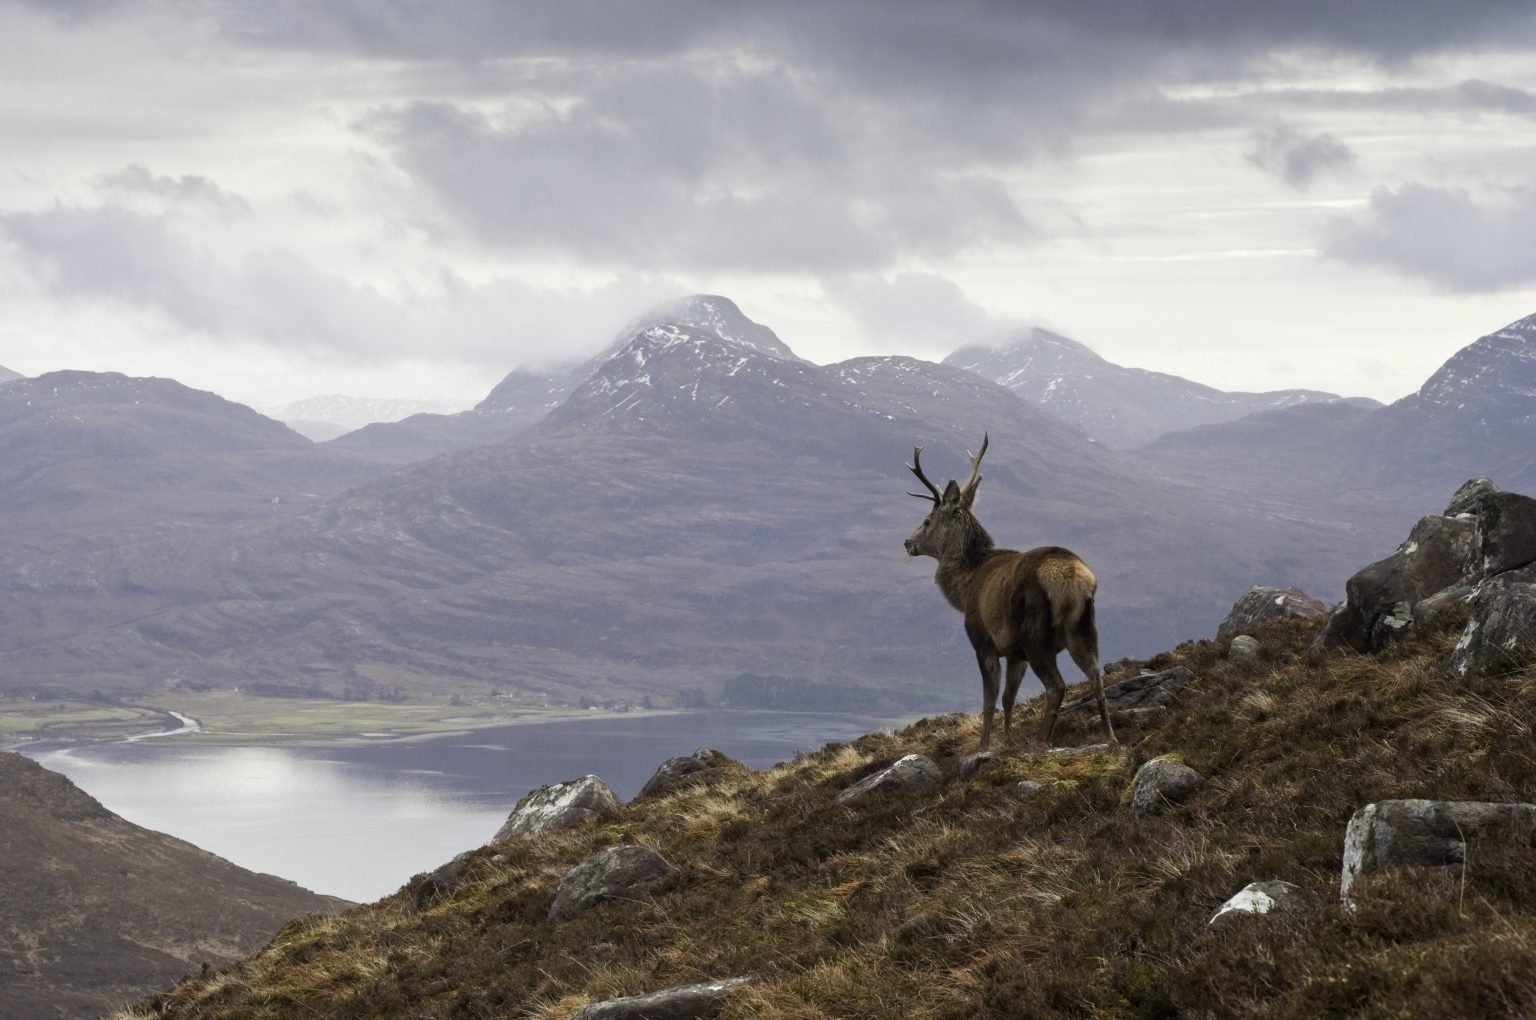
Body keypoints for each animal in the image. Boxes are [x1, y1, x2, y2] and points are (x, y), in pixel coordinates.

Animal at [904, 434, 1116, 749]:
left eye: (927, 520)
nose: (907, 542)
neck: (964, 588)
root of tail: (1075, 579)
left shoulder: (983, 641)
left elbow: (989, 700)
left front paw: (984, 746)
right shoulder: (1016, 653)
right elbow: (1008, 698)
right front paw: (1007, 741)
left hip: (1035, 634)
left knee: (1057, 685)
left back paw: (1040, 742)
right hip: (1084, 627)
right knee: (1096, 676)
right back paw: (1110, 737)